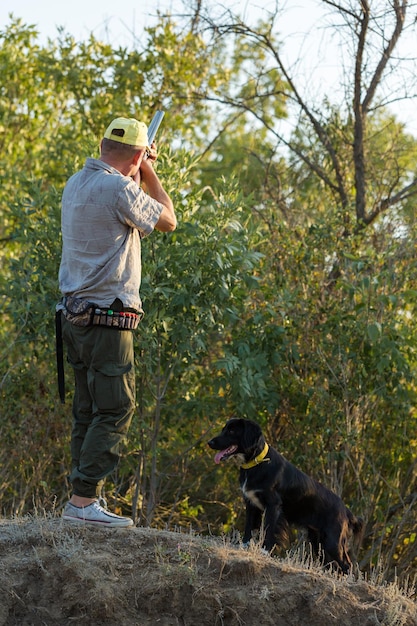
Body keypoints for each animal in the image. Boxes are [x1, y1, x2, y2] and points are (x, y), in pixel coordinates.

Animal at [206, 416, 362, 572]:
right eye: (224, 429)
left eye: (232, 431)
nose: (210, 442)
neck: (257, 463)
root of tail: (346, 511)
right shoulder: (251, 503)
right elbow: (249, 527)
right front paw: (244, 547)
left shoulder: (273, 505)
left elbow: (268, 529)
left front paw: (264, 551)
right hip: (318, 542)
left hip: (332, 542)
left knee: (347, 564)